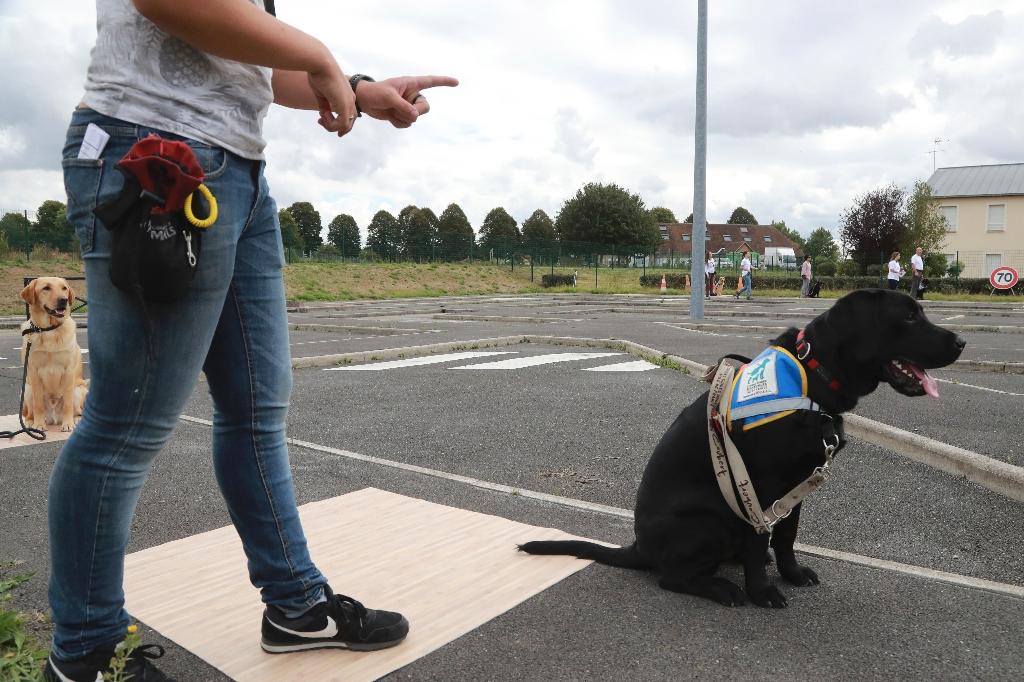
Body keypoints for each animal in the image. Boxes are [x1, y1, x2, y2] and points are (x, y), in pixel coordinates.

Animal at [19, 276, 88, 430]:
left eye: (64, 288)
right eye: (46, 288)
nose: (63, 300)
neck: (49, 330)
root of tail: (54, 417)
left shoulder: (68, 371)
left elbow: (68, 403)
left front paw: (68, 424)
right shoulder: (33, 371)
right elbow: (38, 404)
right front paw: (39, 424)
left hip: (79, 389)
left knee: (78, 410)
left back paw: (75, 419)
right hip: (26, 389)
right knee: (29, 412)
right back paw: (31, 422)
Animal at [524, 286, 962, 606]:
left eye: (921, 312)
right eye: (908, 316)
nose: (960, 341)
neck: (812, 378)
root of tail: (638, 546)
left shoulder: (797, 486)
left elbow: (785, 537)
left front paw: (792, 574)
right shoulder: (758, 485)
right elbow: (758, 538)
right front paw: (762, 591)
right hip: (710, 522)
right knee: (671, 576)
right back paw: (722, 588)